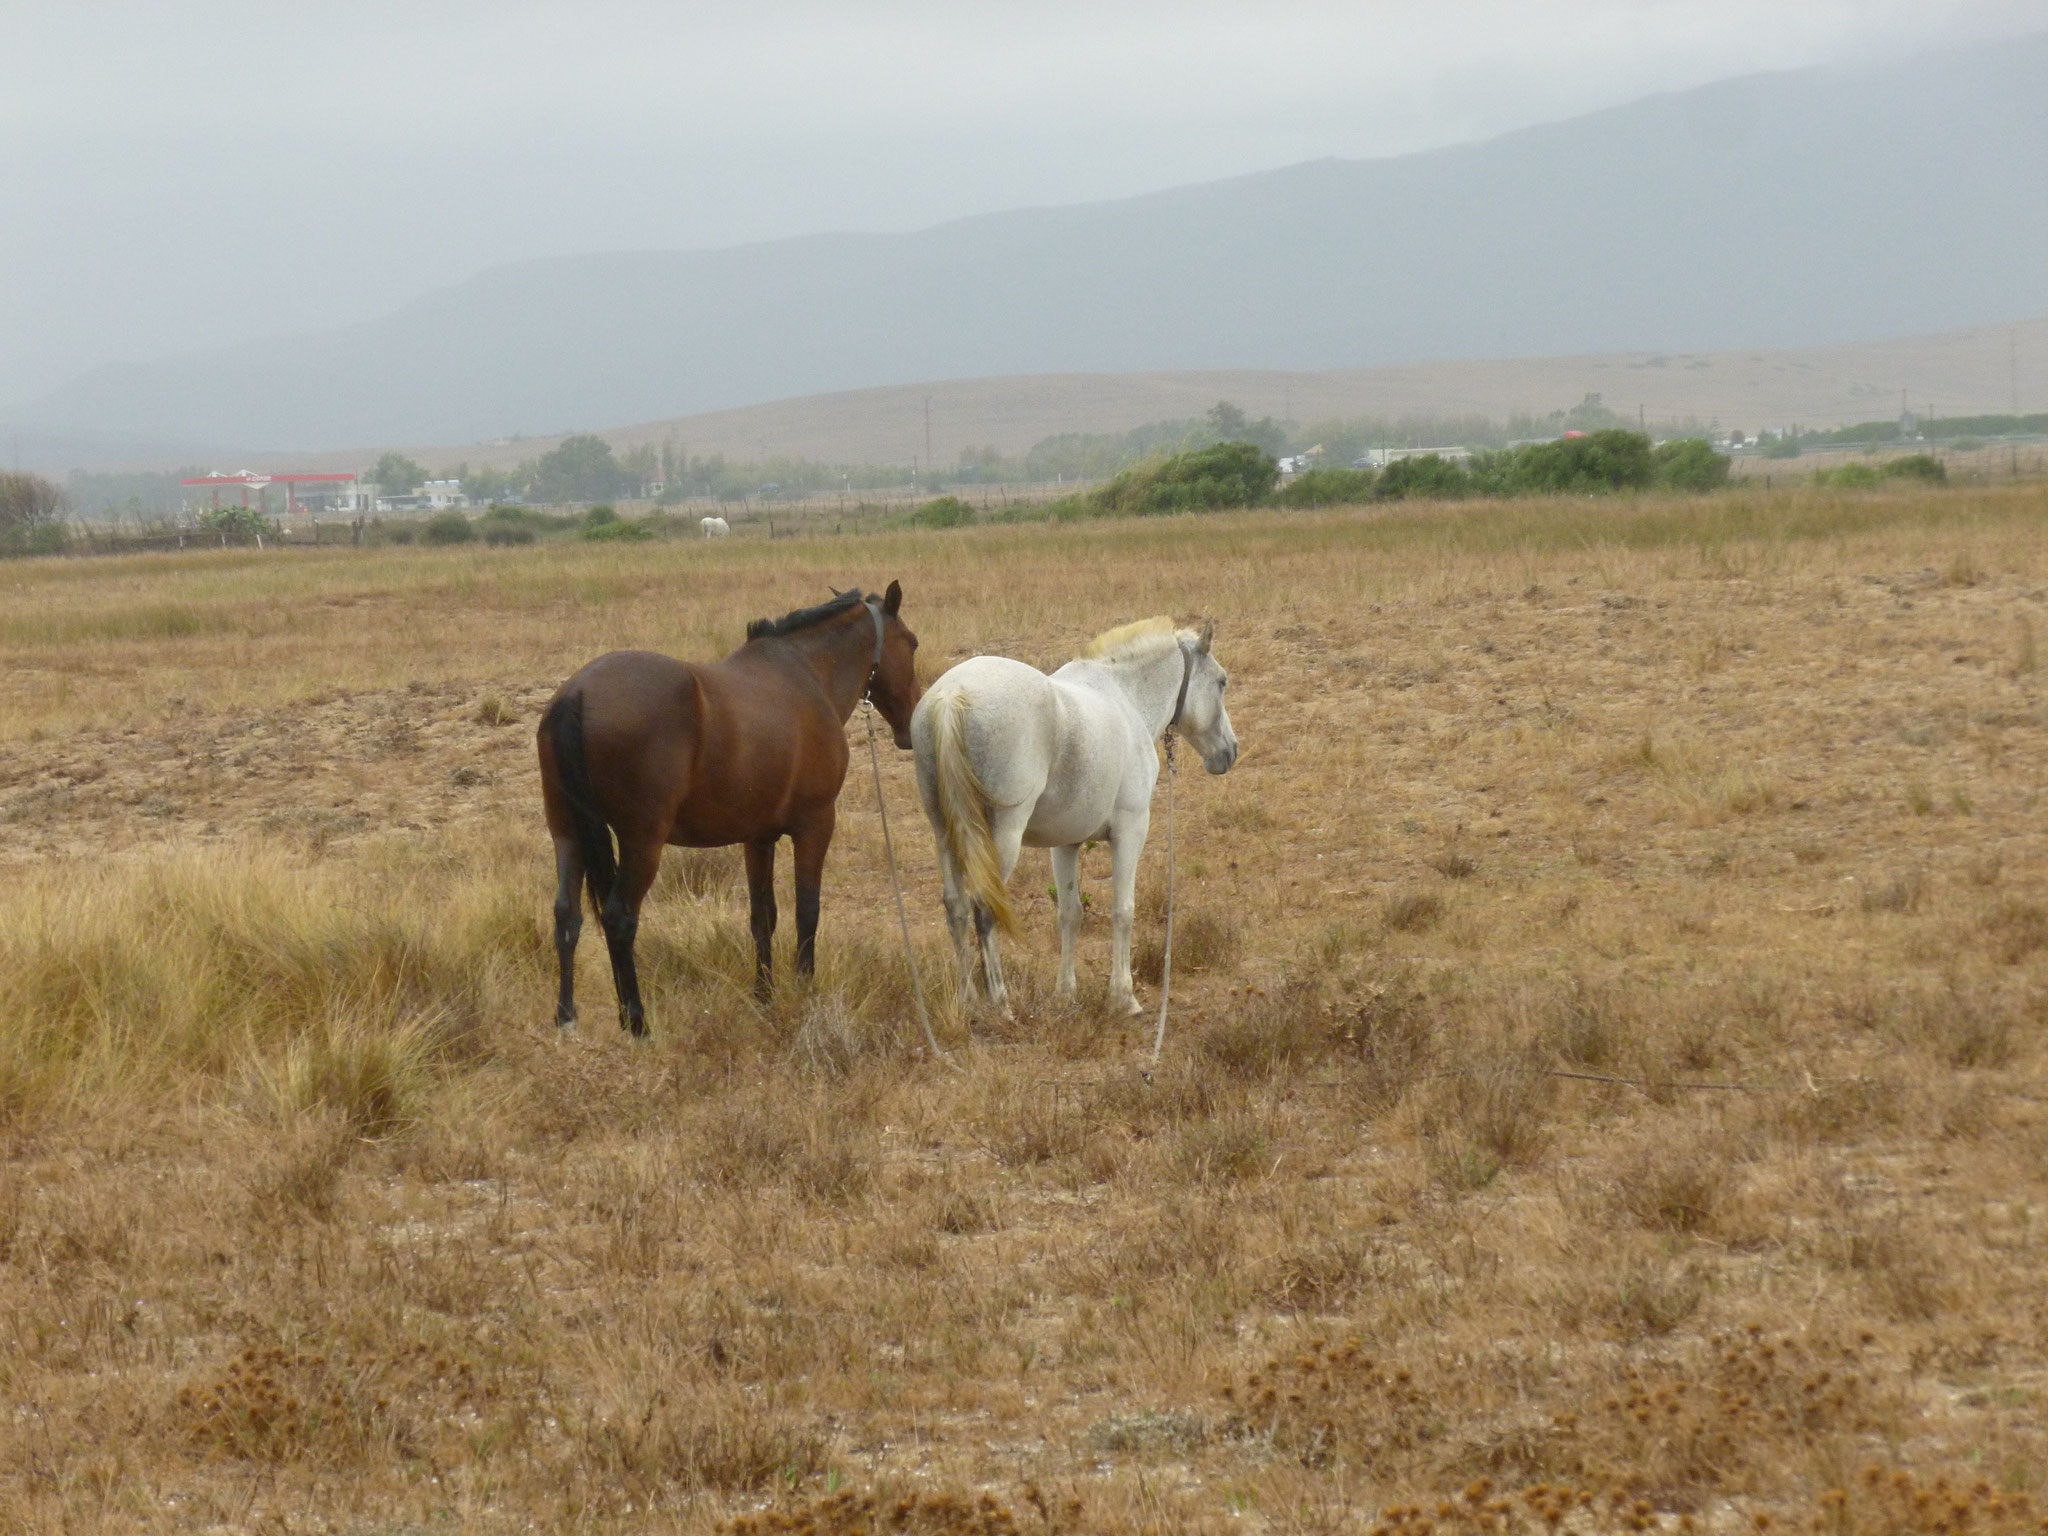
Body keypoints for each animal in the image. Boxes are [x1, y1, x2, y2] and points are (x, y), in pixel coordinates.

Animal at [544, 581, 929, 1040]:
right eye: (912, 642)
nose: (911, 726)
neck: (806, 673)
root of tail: (578, 692)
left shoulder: (757, 837)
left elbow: (763, 917)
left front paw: (764, 995)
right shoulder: (816, 825)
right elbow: (807, 911)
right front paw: (805, 990)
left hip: (567, 834)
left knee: (567, 916)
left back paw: (567, 1018)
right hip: (642, 843)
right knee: (619, 918)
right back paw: (636, 1022)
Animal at [921, 614, 1236, 1024]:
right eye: (1221, 681)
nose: (1229, 752)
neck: (1125, 697)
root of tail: (951, 695)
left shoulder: (1065, 844)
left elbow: (1069, 914)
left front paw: (1065, 993)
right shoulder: (1131, 831)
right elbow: (1123, 911)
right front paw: (1124, 997)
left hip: (946, 834)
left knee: (956, 908)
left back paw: (967, 1001)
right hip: (999, 838)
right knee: (984, 908)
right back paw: (1001, 1006)